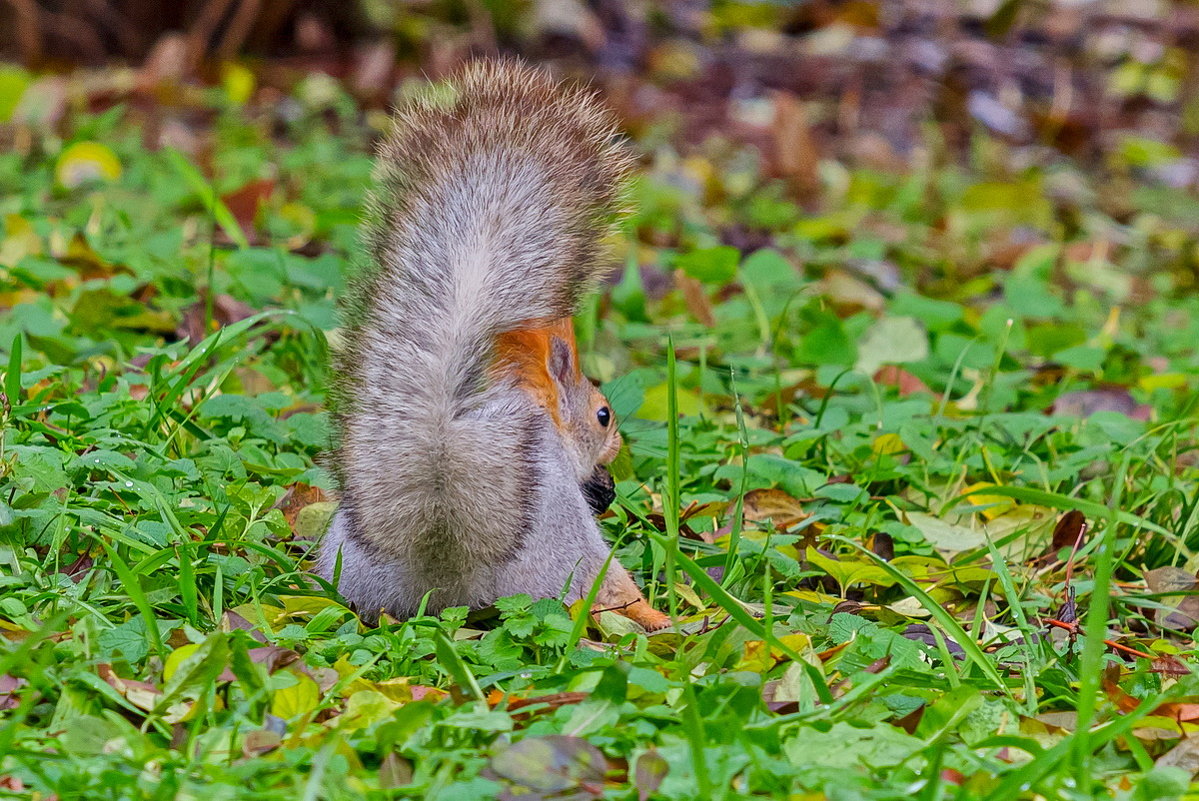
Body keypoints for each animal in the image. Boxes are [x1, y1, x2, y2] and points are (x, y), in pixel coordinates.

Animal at [318, 61, 671, 633]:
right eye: (603, 415)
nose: (616, 450)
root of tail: (440, 558)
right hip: (570, 549)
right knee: (606, 591)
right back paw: (659, 614)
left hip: (347, 563)